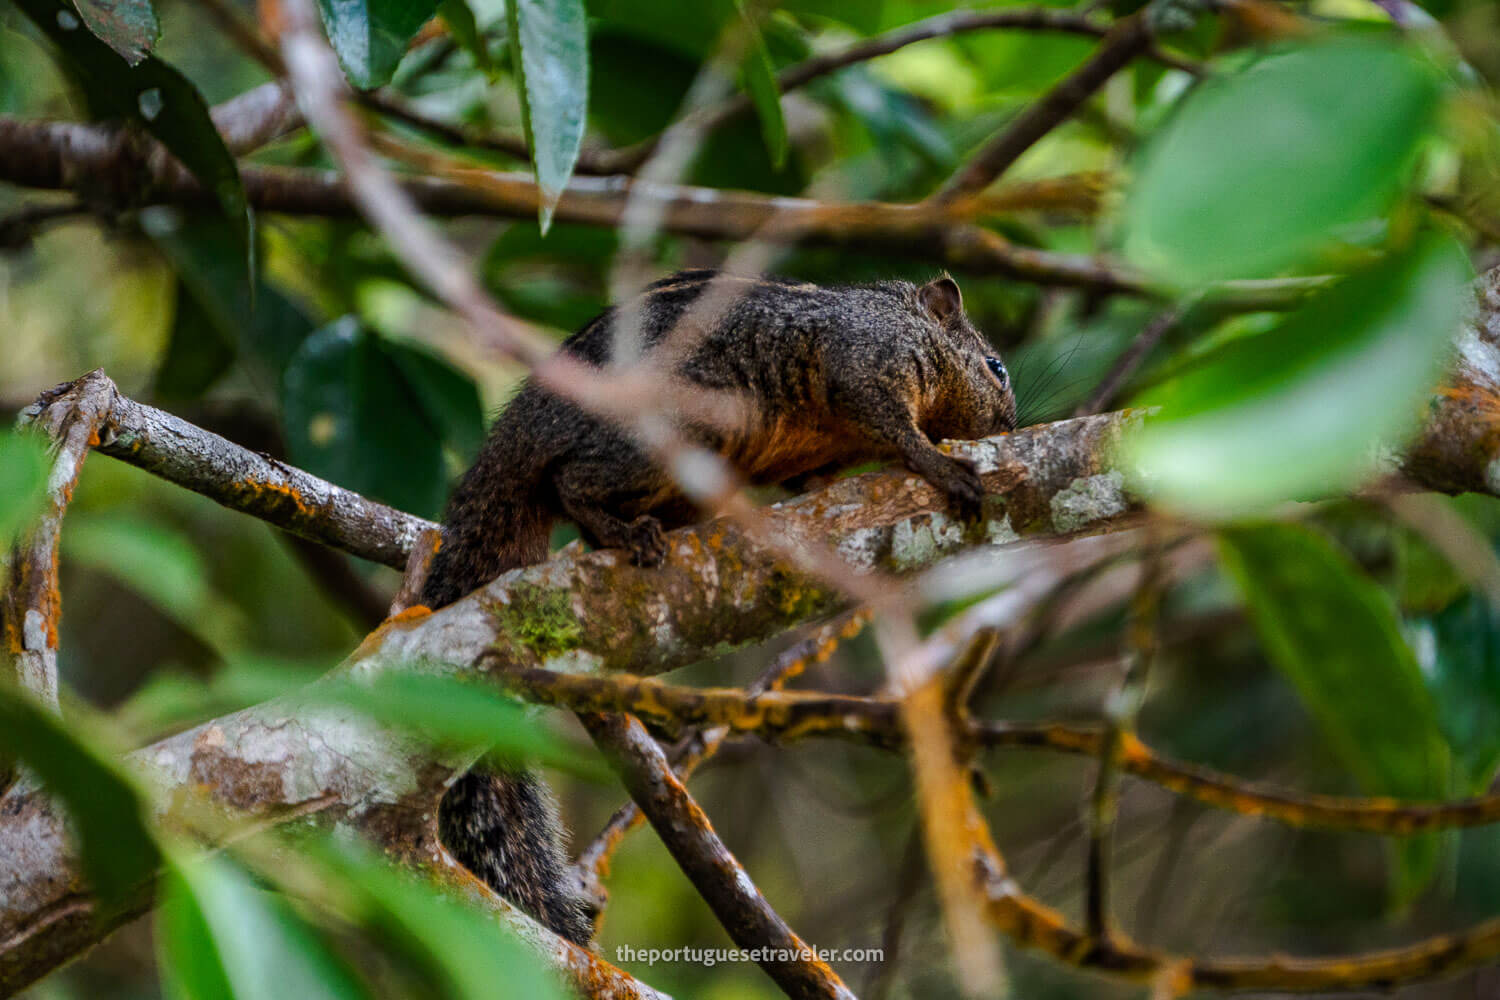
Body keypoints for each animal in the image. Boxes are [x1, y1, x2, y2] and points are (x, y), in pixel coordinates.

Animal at [429, 268, 1026, 947]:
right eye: (996, 368)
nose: (1009, 428)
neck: (896, 314)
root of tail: (519, 432)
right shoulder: (864, 357)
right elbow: (892, 424)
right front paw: (942, 466)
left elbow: (813, 484)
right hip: (675, 428)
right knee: (570, 481)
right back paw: (622, 531)